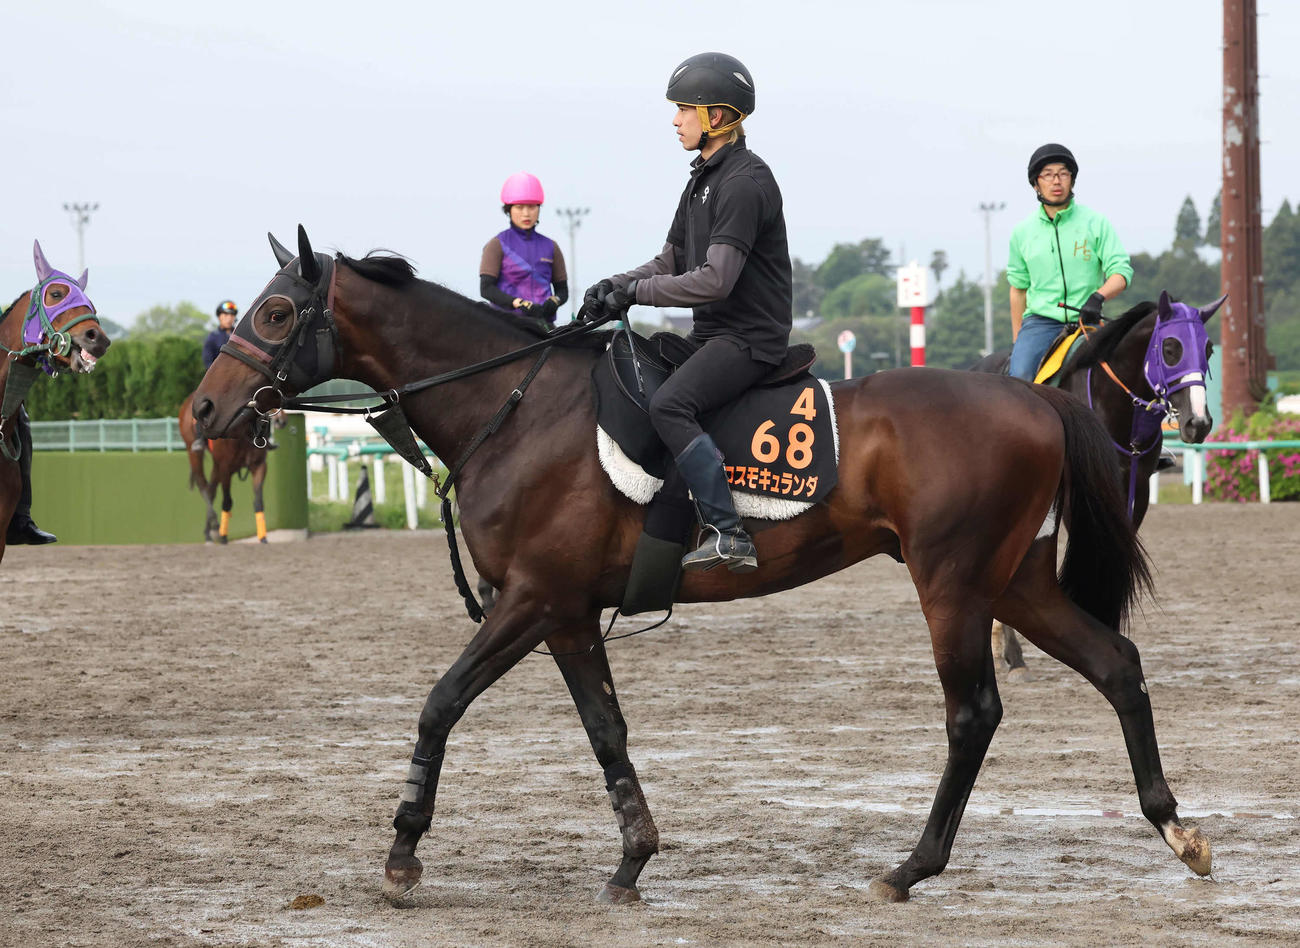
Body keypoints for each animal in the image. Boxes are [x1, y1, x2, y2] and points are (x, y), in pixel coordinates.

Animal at [178, 391, 277, 544]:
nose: (281, 420)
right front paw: (223, 536)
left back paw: (208, 531)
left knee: (211, 489)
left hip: (216, 465)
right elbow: (227, 502)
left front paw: (263, 538)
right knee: (202, 485)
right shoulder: (225, 468)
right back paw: (214, 527)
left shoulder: (259, 466)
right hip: (193, 452)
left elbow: (258, 501)